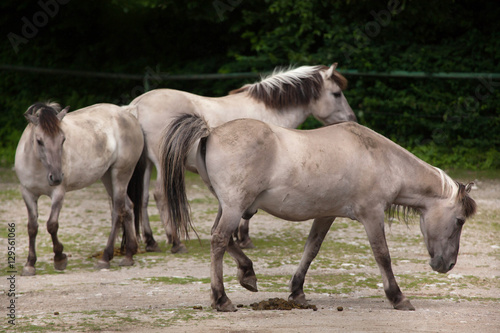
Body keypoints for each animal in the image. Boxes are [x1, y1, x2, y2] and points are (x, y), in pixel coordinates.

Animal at [14, 102, 146, 274]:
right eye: (39, 141)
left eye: (63, 139)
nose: (56, 177)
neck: (38, 165)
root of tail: (128, 114)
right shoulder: (28, 194)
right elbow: (32, 227)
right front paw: (30, 264)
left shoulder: (58, 193)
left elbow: (52, 225)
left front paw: (59, 258)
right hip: (107, 176)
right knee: (128, 207)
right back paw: (129, 256)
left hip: (121, 174)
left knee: (118, 211)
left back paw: (105, 258)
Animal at [129, 63, 356, 253]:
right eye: (337, 94)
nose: (352, 118)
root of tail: (137, 105)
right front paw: (244, 238)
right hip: (161, 165)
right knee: (160, 195)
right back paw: (175, 242)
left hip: (147, 165)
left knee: (143, 198)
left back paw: (151, 242)